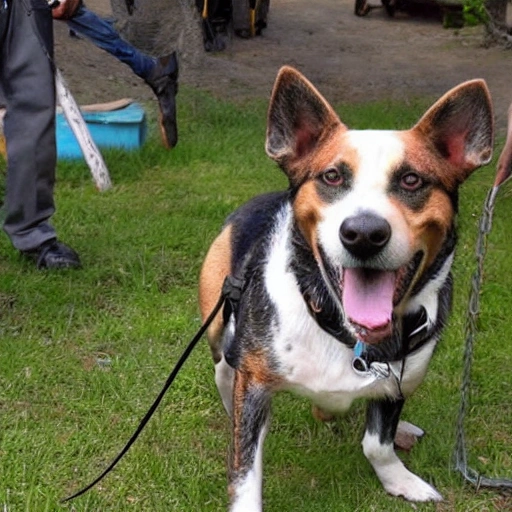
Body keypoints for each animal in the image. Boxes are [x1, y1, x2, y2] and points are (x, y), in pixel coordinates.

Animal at [199, 66, 492, 510]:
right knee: (223, 372)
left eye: (412, 180)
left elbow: (377, 441)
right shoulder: (254, 384)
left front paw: (399, 478)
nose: (364, 234)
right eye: (332, 176)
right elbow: (245, 466)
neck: (341, 329)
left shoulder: (399, 375)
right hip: (219, 326)